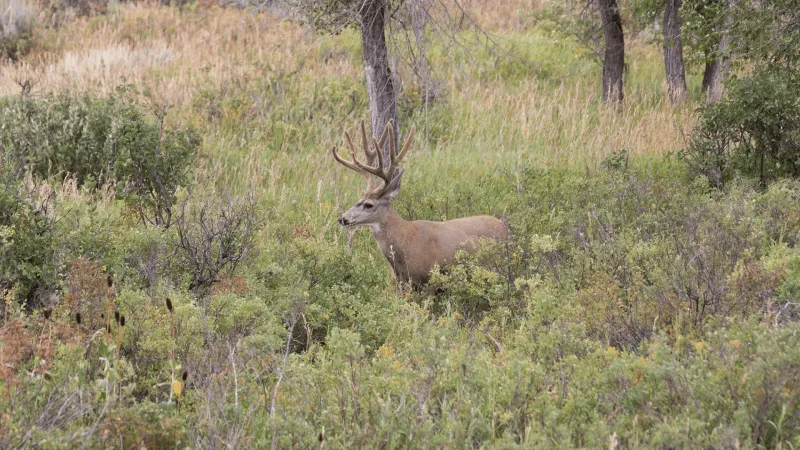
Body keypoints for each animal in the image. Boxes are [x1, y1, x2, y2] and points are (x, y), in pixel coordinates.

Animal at [332, 120, 509, 289]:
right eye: (358, 198)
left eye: (369, 204)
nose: (342, 218)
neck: (406, 243)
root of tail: (503, 225)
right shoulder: (401, 282)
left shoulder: (431, 279)